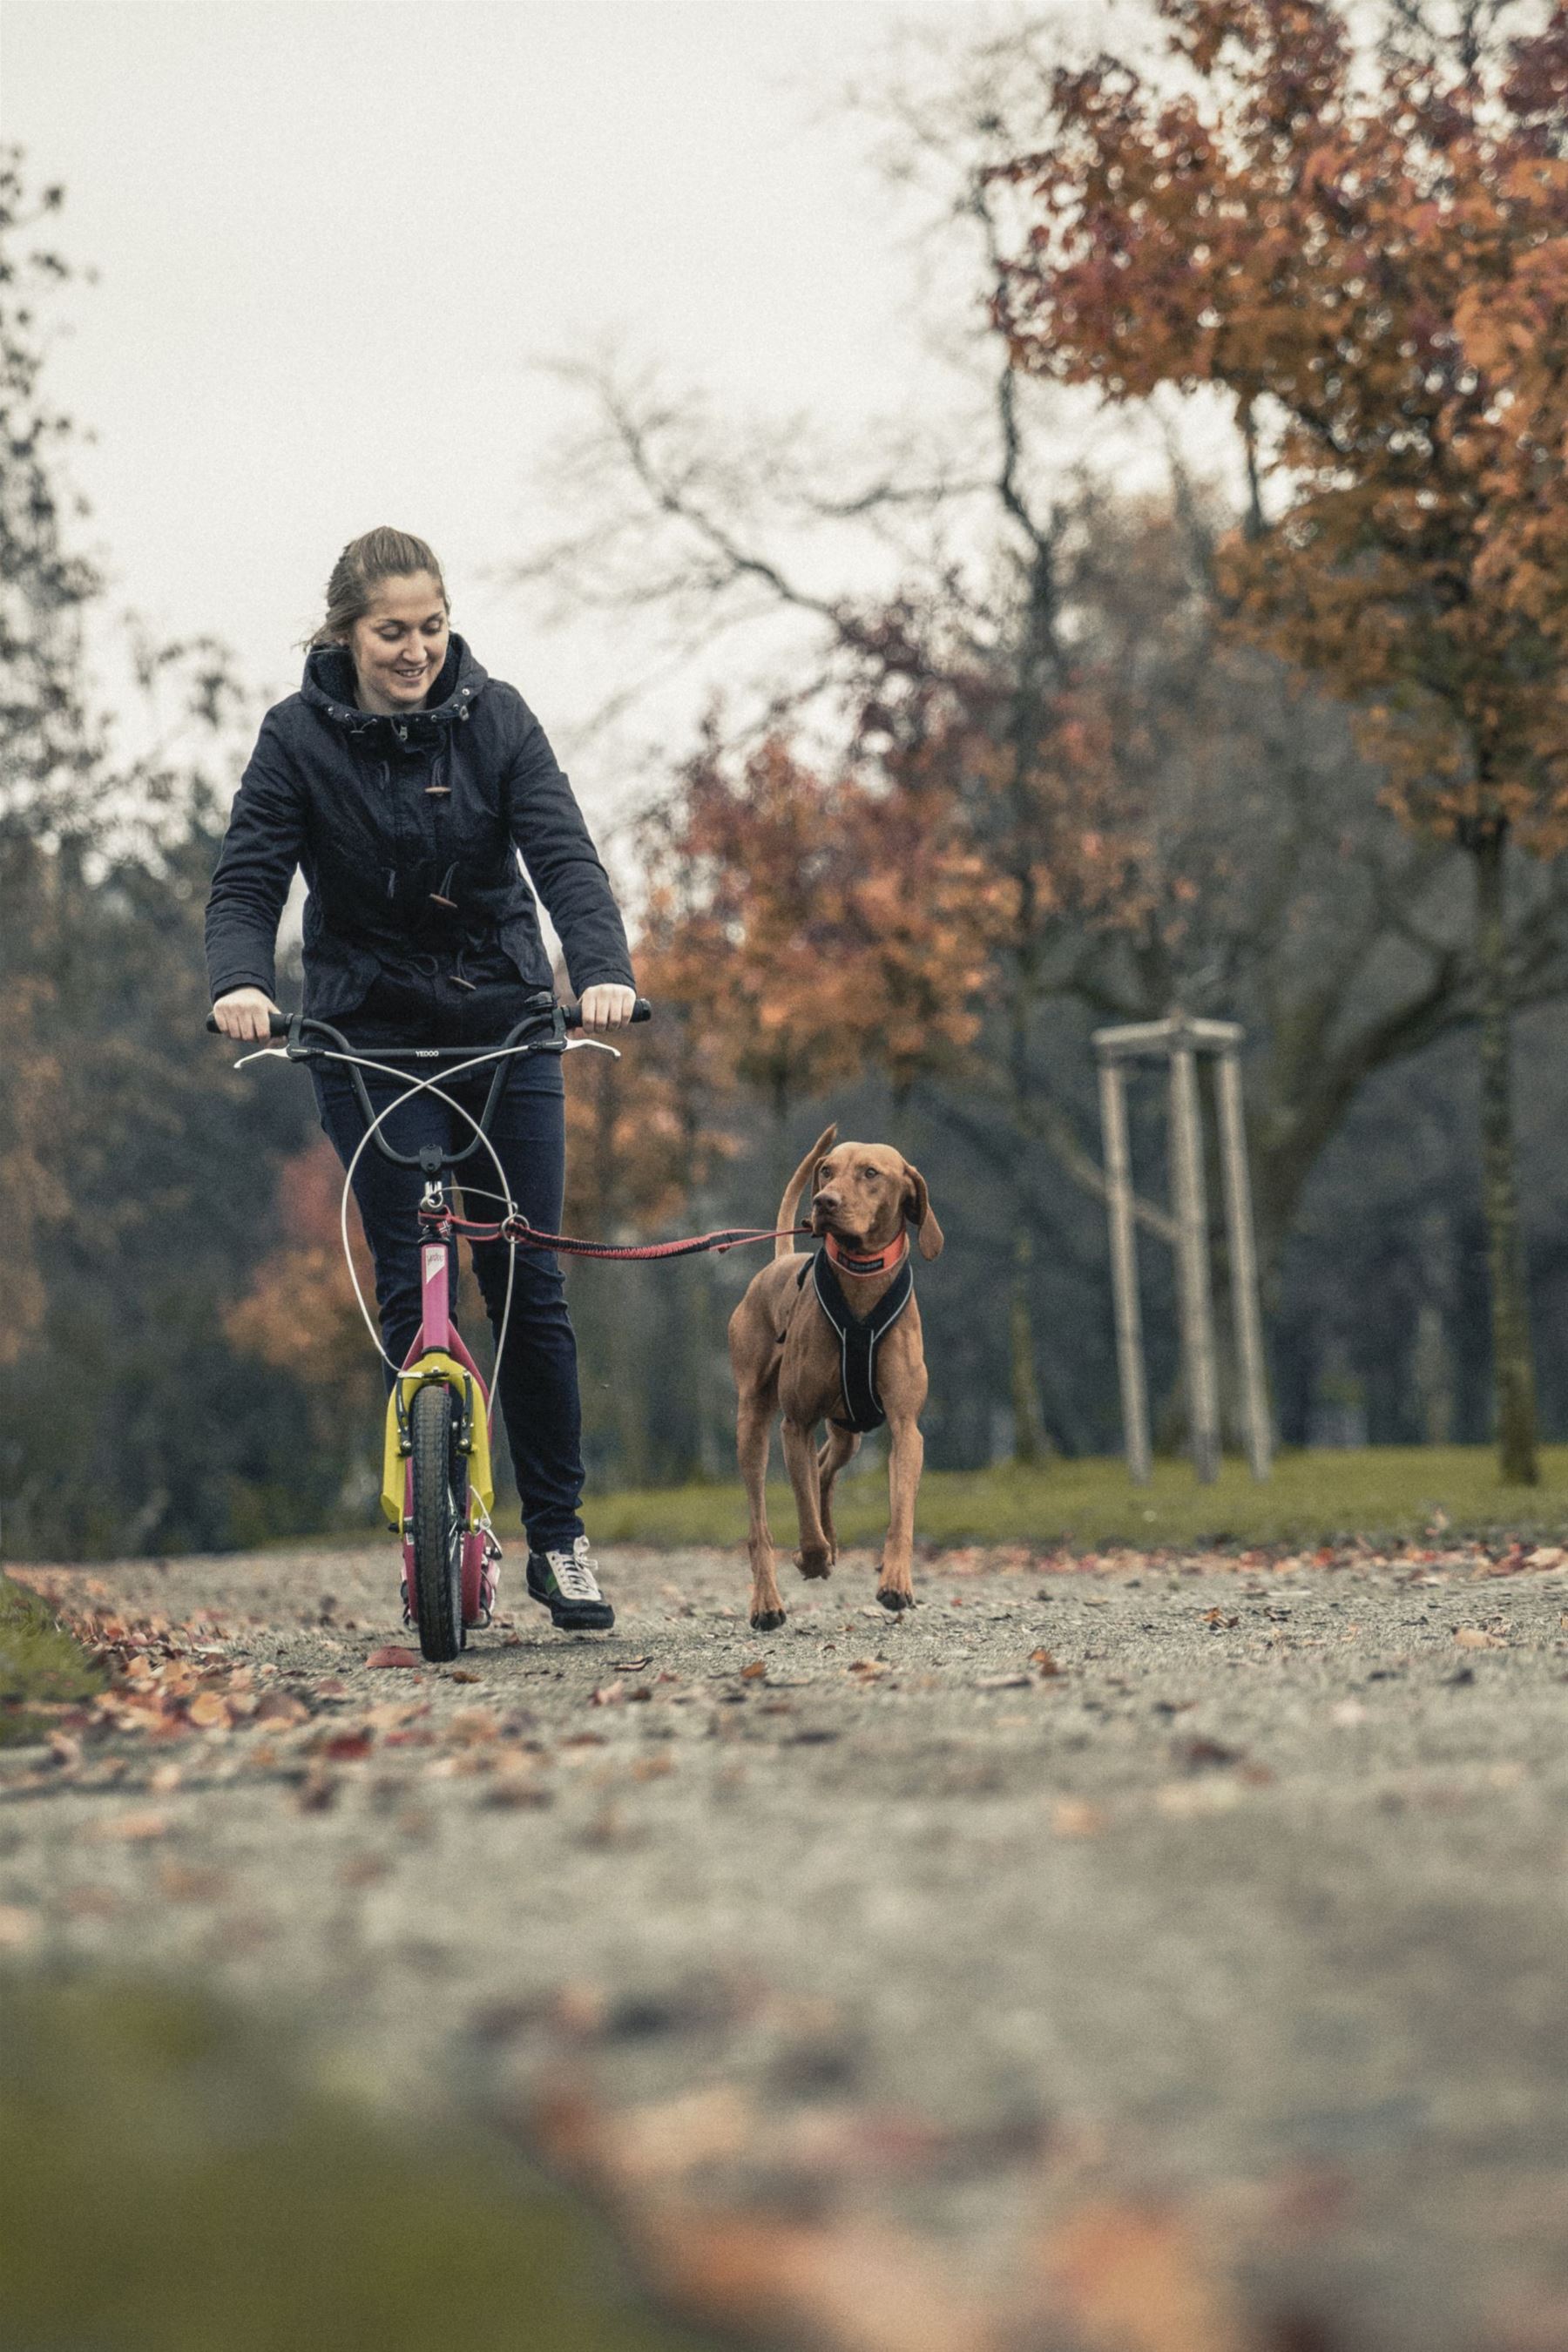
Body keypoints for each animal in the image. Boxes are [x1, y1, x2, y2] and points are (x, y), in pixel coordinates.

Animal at [728, 1129, 940, 1627]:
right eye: (826, 1170)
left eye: (871, 1173)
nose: (823, 1202)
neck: (861, 1279)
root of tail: (778, 1262)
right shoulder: (796, 1424)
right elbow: (804, 1513)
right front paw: (811, 1557)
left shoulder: (906, 1427)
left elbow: (901, 1513)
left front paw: (896, 1583)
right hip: (754, 1422)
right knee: (761, 1521)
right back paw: (768, 1601)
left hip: (850, 1427)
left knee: (825, 1466)